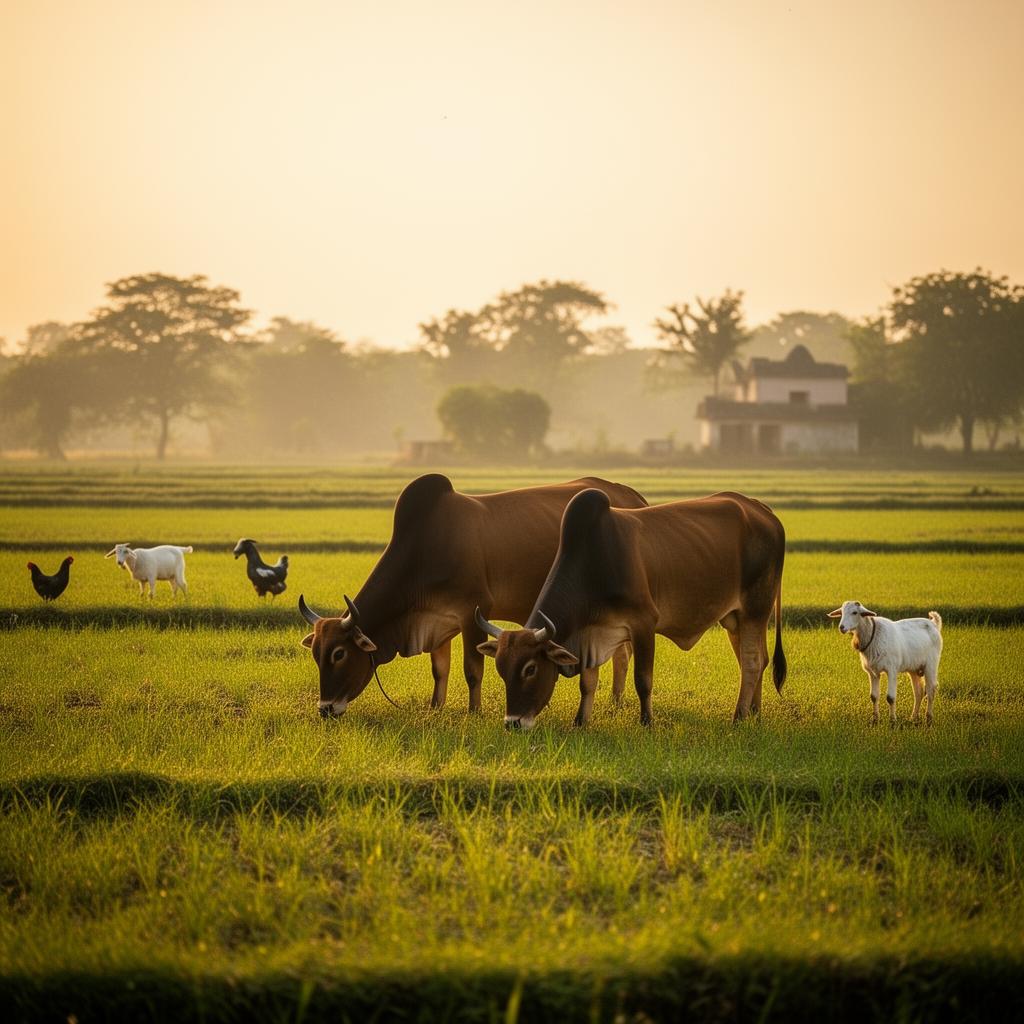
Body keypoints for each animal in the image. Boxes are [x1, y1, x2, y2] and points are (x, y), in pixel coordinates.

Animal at [298, 474, 647, 718]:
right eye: (315, 653)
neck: (424, 548)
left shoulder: (472, 613)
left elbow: (472, 670)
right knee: (621, 652)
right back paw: (616, 701)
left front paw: (474, 711)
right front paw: (435, 707)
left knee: (622, 653)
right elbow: (440, 669)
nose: (326, 709)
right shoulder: (437, 618)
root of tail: (633, 495)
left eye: (339, 653)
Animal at [475, 488, 786, 730]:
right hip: (736, 619)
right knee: (759, 659)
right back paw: (755, 714)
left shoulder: (644, 624)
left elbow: (642, 680)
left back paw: (739, 717)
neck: (593, 566)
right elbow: (588, 682)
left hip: (755, 611)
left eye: (530, 669)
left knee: (752, 662)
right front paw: (580, 722)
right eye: (500, 668)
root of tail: (762, 510)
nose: (513, 723)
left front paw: (646, 722)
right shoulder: (591, 634)